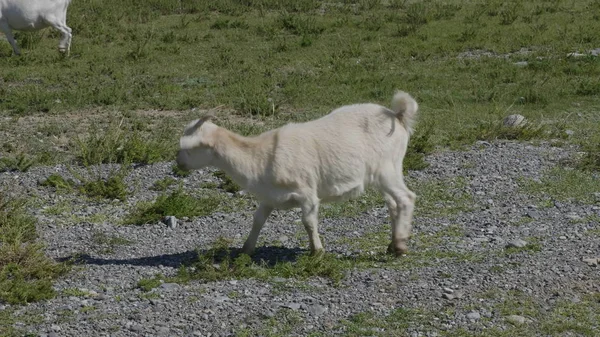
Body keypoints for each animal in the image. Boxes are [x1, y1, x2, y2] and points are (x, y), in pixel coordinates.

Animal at [177, 90, 418, 256]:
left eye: (190, 147)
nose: (178, 162)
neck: (261, 156)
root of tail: (397, 116)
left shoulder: (307, 193)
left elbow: (308, 222)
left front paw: (317, 251)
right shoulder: (269, 196)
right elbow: (257, 220)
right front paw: (246, 249)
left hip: (387, 169)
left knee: (406, 198)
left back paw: (400, 245)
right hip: (384, 174)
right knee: (393, 203)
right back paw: (392, 244)